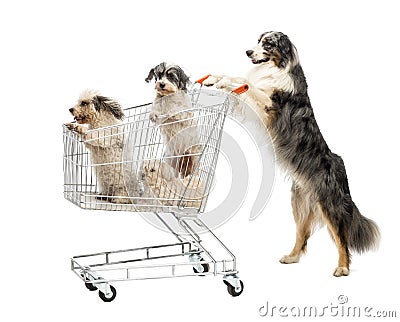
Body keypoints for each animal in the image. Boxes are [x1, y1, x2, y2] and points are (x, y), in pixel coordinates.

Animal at [205, 31, 380, 276]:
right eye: (257, 41)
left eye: (268, 44)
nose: (247, 52)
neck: (275, 68)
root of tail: (339, 164)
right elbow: (240, 79)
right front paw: (215, 79)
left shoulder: (271, 105)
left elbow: (248, 83)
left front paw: (222, 81)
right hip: (300, 206)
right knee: (302, 234)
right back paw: (292, 257)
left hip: (329, 204)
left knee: (341, 236)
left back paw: (343, 267)